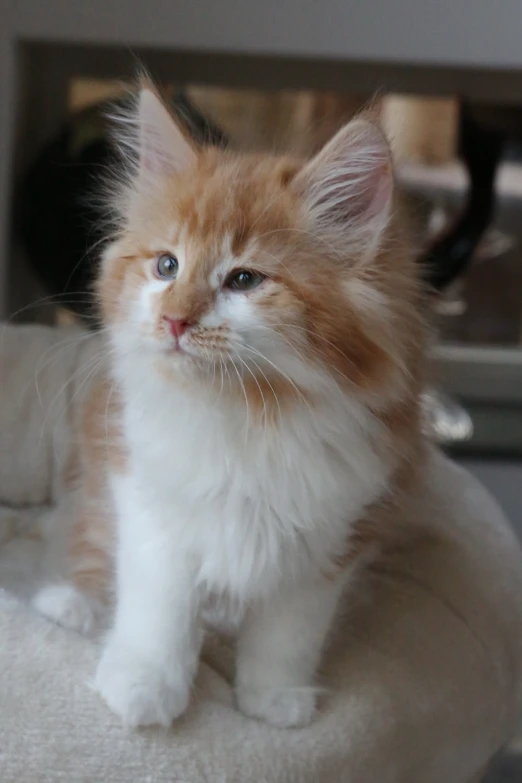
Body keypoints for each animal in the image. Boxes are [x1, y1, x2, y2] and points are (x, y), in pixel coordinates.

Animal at [32, 79, 424, 728]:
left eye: (244, 280)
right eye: (166, 266)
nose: (173, 320)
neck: (248, 414)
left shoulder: (337, 531)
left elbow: (289, 631)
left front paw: (273, 698)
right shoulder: (147, 498)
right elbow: (158, 607)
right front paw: (142, 684)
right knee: (91, 539)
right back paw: (73, 603)